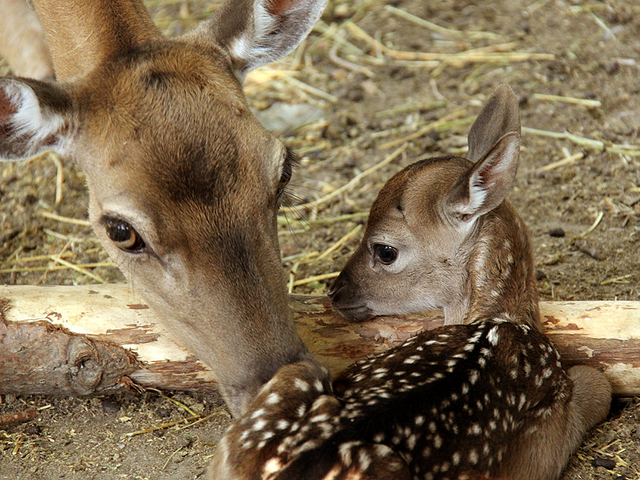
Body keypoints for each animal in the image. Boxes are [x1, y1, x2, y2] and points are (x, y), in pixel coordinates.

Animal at [210, 86, 608, 480]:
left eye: (385, 251)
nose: (334, 291)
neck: (505, 319)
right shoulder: (549, 437)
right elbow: (599, 384)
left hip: (289, 384)